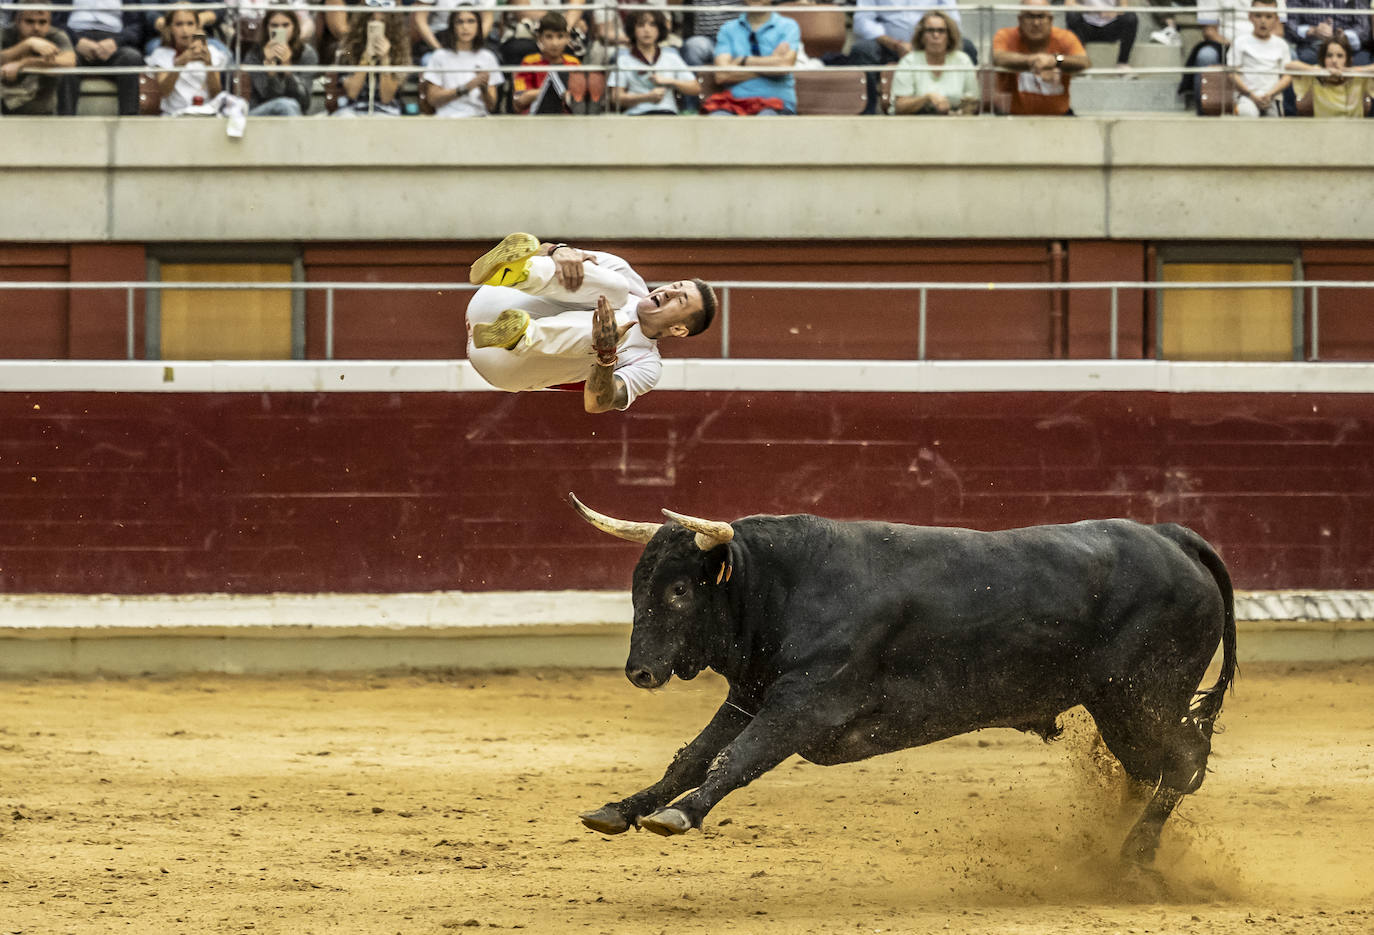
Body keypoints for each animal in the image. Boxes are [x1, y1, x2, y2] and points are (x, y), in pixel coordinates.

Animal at [568, 492, 1236, 863]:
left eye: (681, 590)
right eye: (639, 585)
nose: (640, 671)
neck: (784, 585)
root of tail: (1173, 536)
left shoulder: (805, 703)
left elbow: (740, 756)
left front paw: (679, 815)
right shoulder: (751, 694)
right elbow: (692, 756)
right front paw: (621, 808)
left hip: (1144, 697)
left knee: (1183, 760)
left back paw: (1132, 853)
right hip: (1119, 705)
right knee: (1149, 769)